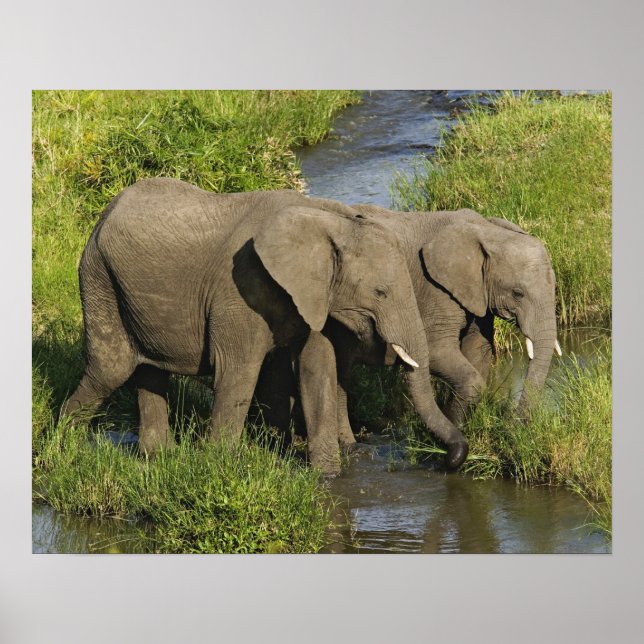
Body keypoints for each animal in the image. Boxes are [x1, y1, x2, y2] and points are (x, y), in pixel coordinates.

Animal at [59, 178, 468, 475]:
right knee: (111, 368)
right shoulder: (240, 288)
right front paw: (220, 468)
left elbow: (316, 368)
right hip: (97, 275)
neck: (330, 220)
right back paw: (62, 449)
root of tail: (107, 210)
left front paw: (328, 477)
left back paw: (158, 457)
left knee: (149, 370)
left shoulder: (312, 294)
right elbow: (239, 371)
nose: (449, 459)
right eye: (380, 292)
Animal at [256, 200, 560, 450]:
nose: (513, 427)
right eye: (518, 293)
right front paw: (450, 434)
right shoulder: (437, 289)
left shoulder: (476, 294)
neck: (486, 230)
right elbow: (438, 353)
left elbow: (479, 351)